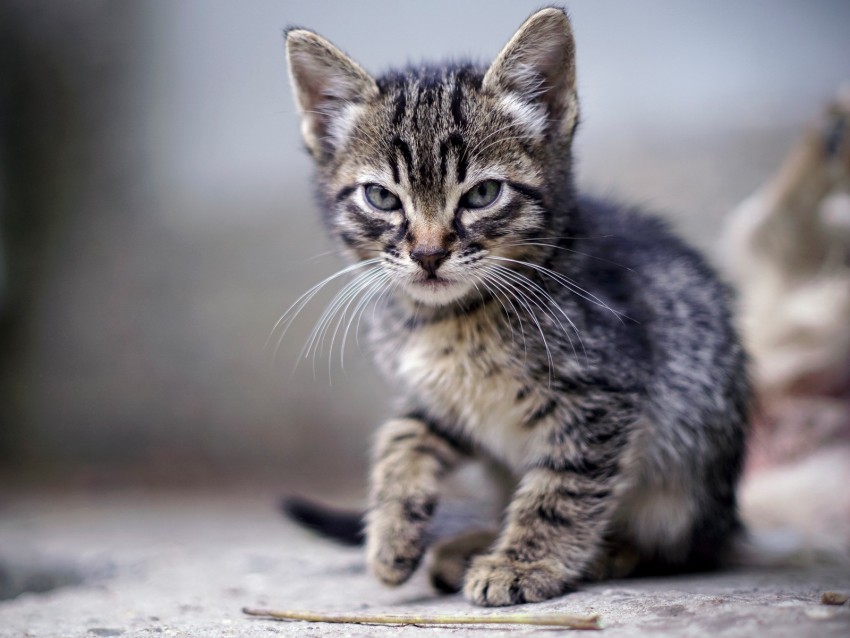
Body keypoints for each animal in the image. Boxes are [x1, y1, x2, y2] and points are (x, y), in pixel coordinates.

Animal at [284, 7, 748, 608]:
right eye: (382, 198)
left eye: (483, 195)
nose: (428, 254)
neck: (452, 318)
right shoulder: (440, 399)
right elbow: (401, 436)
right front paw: (390, 532)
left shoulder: (604, 396)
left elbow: (562, 488)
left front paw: (523, 563)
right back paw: (467, 542)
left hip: (692, 469)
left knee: (681, 547)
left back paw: (604, 551)